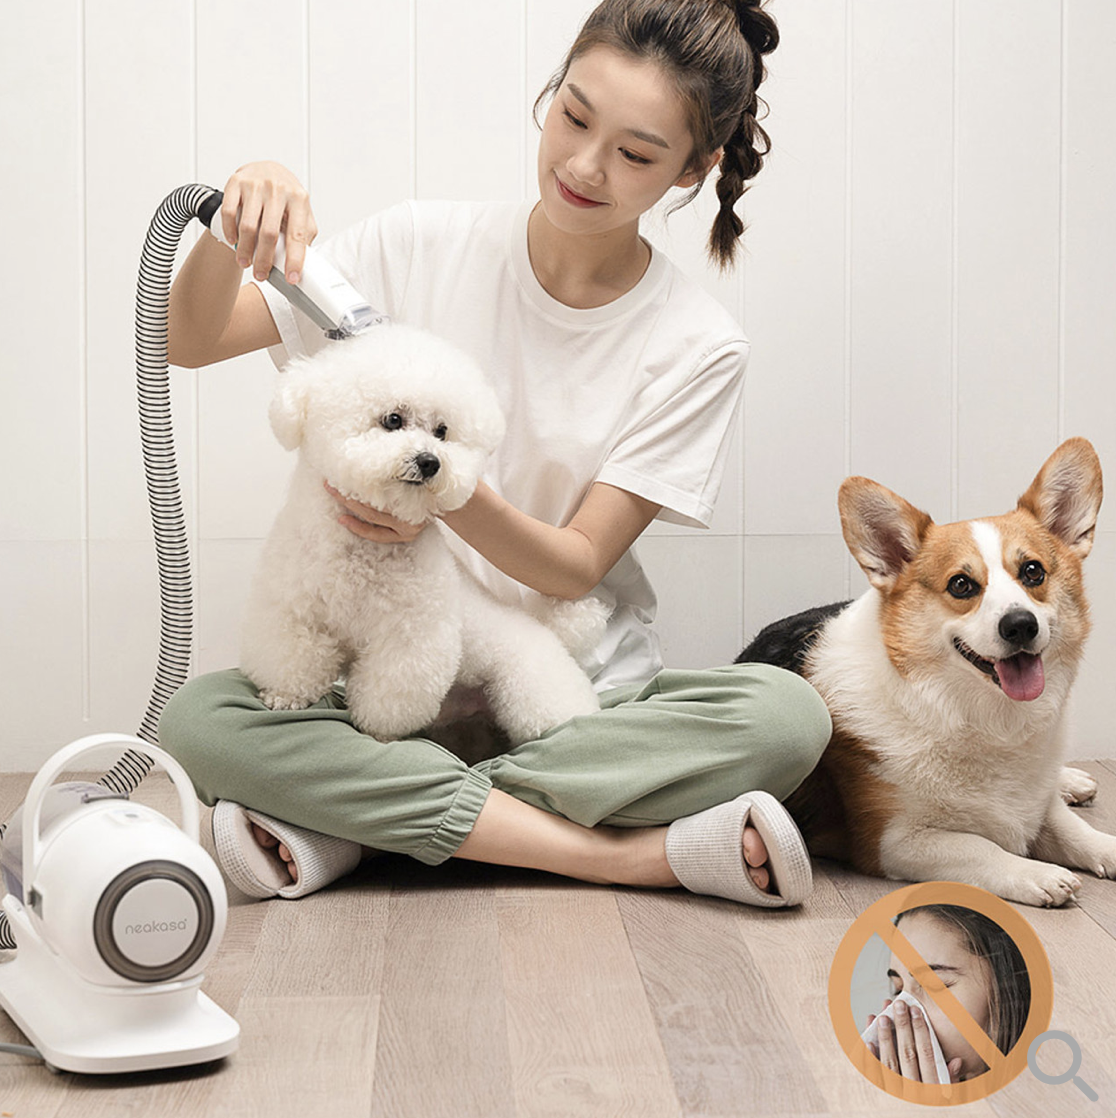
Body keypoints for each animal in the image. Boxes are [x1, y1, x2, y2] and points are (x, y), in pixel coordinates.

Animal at [241, 324, 612, 742]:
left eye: (442, 431)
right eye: (393, 419)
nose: (430, 461)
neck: (360, 555)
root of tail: (547, 630)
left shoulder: (410, 635)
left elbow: (391, 692)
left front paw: (379, 734)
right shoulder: (290, 609)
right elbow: (293, 656)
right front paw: (285, 697)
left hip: (534, 687)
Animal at [738, 438, 1113, 907]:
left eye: (1033, 571)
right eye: (961, 585)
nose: (1020, 625)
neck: (984, 720)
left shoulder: (1037, 802)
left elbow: (1072, 829)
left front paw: (1101, 844)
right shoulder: (895, 841)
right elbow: (979, 847)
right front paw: (1036, 873)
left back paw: (1072, 780)